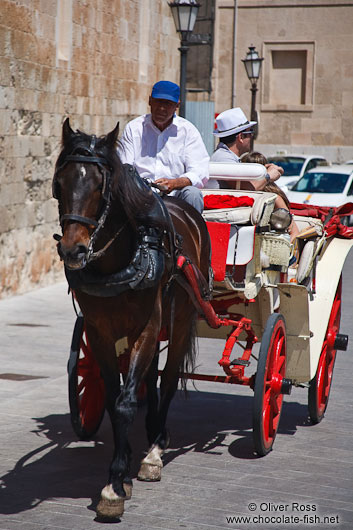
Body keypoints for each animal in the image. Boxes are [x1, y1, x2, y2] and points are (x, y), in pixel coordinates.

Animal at [52, 117, 210, 516]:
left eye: (101, 186)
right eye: (60, 183)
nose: (73, 250)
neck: (117, 261)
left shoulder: (147, 327)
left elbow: (125, 403)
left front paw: (114, 485)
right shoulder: (100, 332)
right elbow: (113, 398)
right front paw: (119, 474)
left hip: (180, 320)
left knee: (168, 379)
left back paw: (155, 449)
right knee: (152, 377)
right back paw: (152, 431)